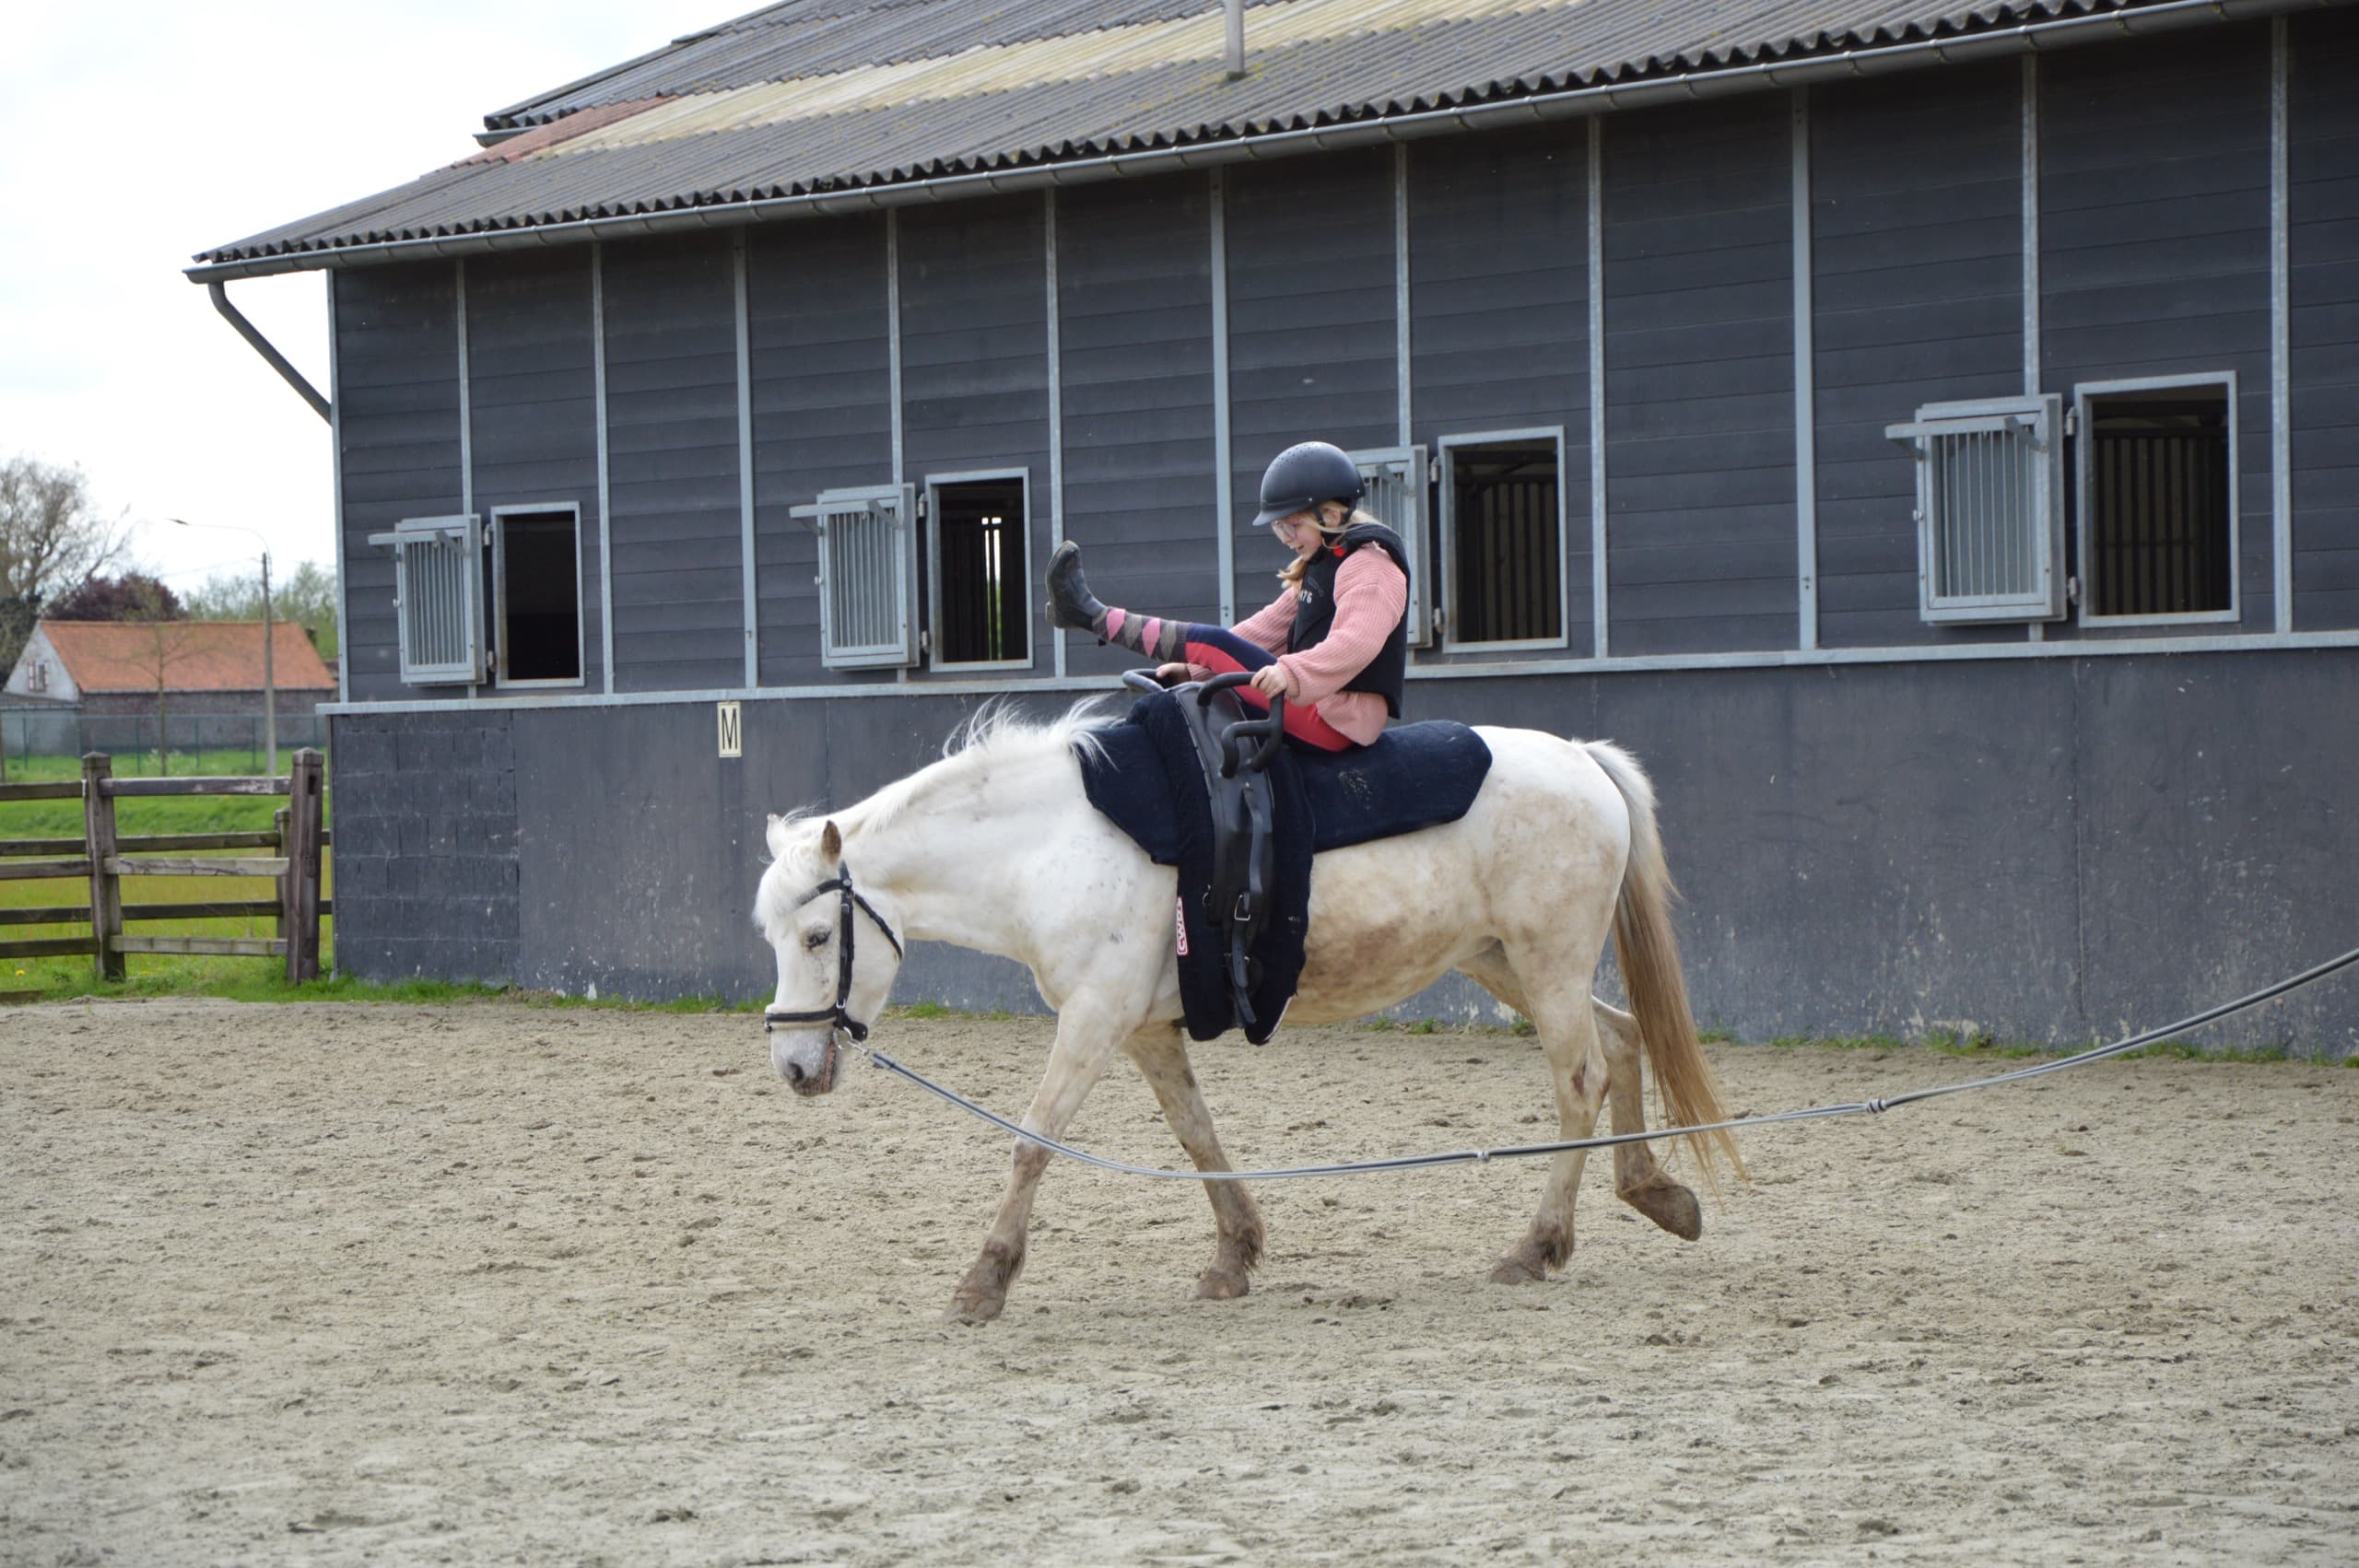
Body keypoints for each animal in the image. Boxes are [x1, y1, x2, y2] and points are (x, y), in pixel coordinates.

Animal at [752, 701, 1744, 1324]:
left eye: (815, 935)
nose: (794, 1069)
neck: (1055, 843)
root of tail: (1581, 758)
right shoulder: (1144, 1030)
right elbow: (1198, 1135)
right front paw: (1235, 1254)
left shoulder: (1094, 1019)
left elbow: (1032, 1142)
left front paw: (984, 1282)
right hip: (1511, 963)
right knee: (1620, 1041)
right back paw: (1653, 1191)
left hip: (1545, 961)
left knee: (1579, 1078)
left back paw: (1537, 1246)